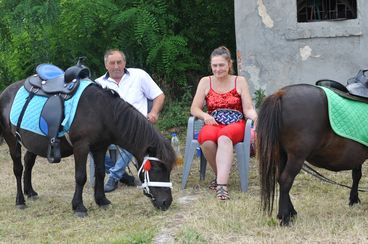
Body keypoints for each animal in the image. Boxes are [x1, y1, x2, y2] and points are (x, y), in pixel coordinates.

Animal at [0, 80, 177, 217]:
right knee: (18, 169)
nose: (166, 202)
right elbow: (81, 177)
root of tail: (5, 92)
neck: (102, 112)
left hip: (33, 143)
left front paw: (102, 200)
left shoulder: (100, 148)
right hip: (12, 141)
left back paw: (30, 192)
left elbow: (100, 173)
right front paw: (79, 207)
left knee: (28, 163)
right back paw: (20, 200)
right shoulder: (81, 147)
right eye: (156, 168)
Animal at [258, 84, 368, 225]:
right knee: (286, 179)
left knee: (280, 178)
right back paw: (285, 217)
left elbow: (356, 175)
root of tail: (281, 94)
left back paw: (290, 212)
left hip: (283, 154)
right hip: (296, 156)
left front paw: (353, 200)